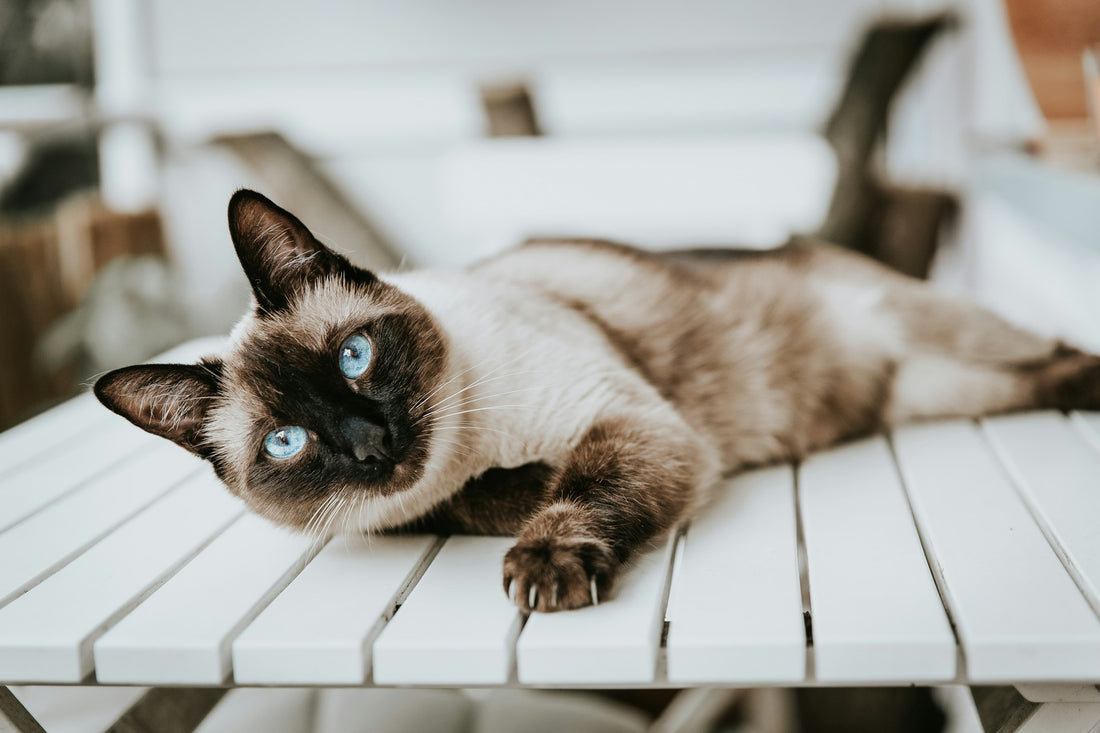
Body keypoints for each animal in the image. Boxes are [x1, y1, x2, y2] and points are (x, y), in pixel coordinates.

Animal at [96, 189, 1100, 611]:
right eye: (287, 445)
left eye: (354, 356)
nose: (371, 442)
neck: (466, 453)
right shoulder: (427, 506)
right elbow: (496, 497)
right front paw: (513, 495)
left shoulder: (633, 423)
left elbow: (577, 490)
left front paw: (545, 565)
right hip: (933, 392)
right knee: (1033, 376)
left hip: (943, 334)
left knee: (1052, 346)